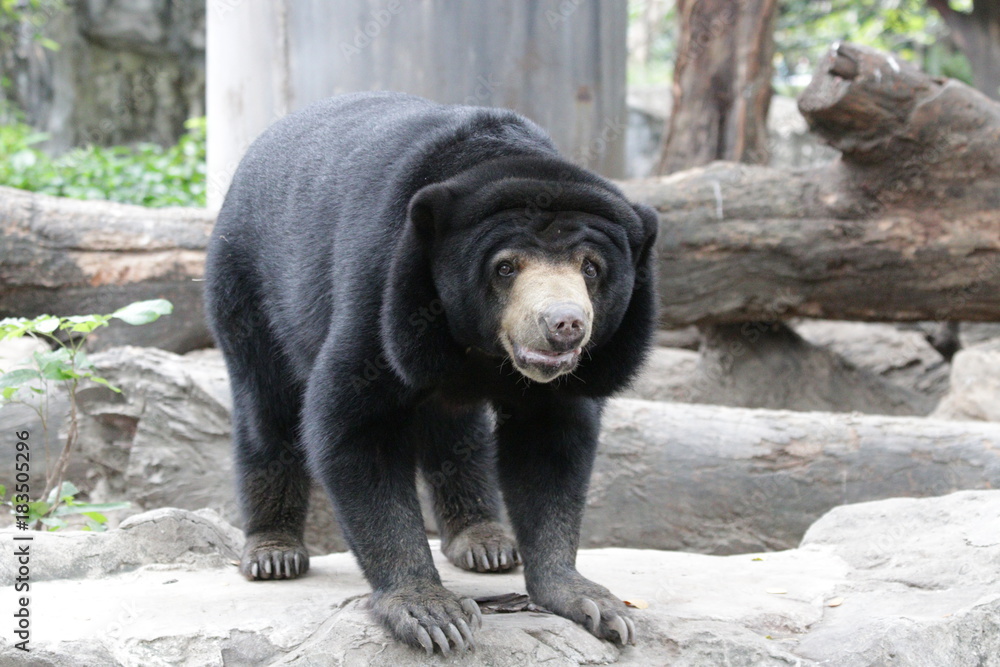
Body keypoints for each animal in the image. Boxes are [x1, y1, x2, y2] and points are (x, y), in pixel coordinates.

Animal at [205, 91, 656, 656]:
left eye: (591, 267)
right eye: (505, 267)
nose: (564, 324)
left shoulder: (558, 386)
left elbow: (552, 444)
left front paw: (592, 602)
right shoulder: (384, 287)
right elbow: (354, 426)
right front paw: (431, 613)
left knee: (453, 426)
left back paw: (484, 542)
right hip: (244, 281)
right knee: (265, 405)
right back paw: (273, 551)